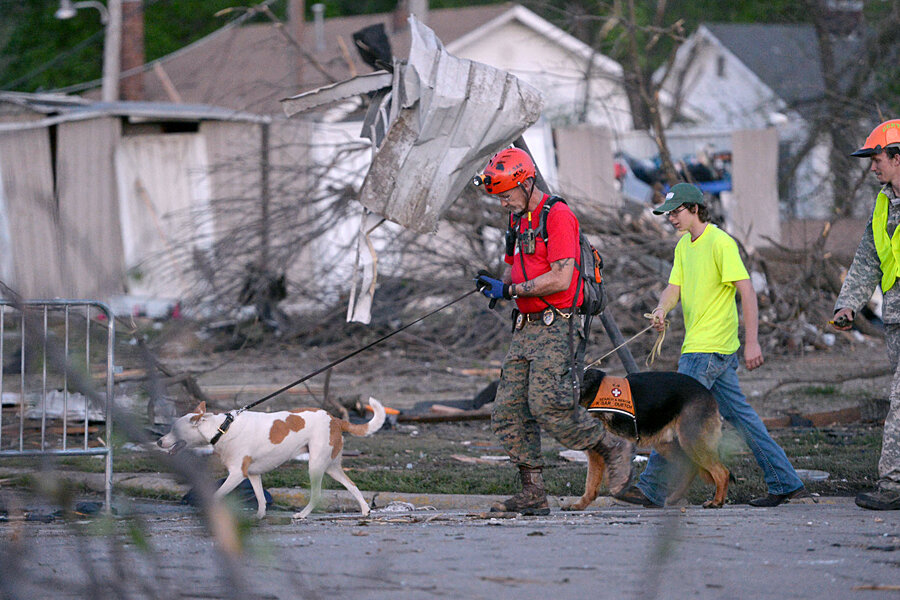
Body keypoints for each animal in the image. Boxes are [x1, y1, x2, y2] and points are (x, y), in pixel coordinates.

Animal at [158, 396, 384, 516]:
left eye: (174, 429)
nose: (159, 441)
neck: (222, 428)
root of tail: (335, 419)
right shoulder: (253, 475)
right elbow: (260, 498)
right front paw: (259, 517)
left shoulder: (237, 475)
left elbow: (217, 495)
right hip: (331, 466)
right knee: (352, 485)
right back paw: (365, 510)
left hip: (316, 465)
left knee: (317, 494)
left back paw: (302, 515)